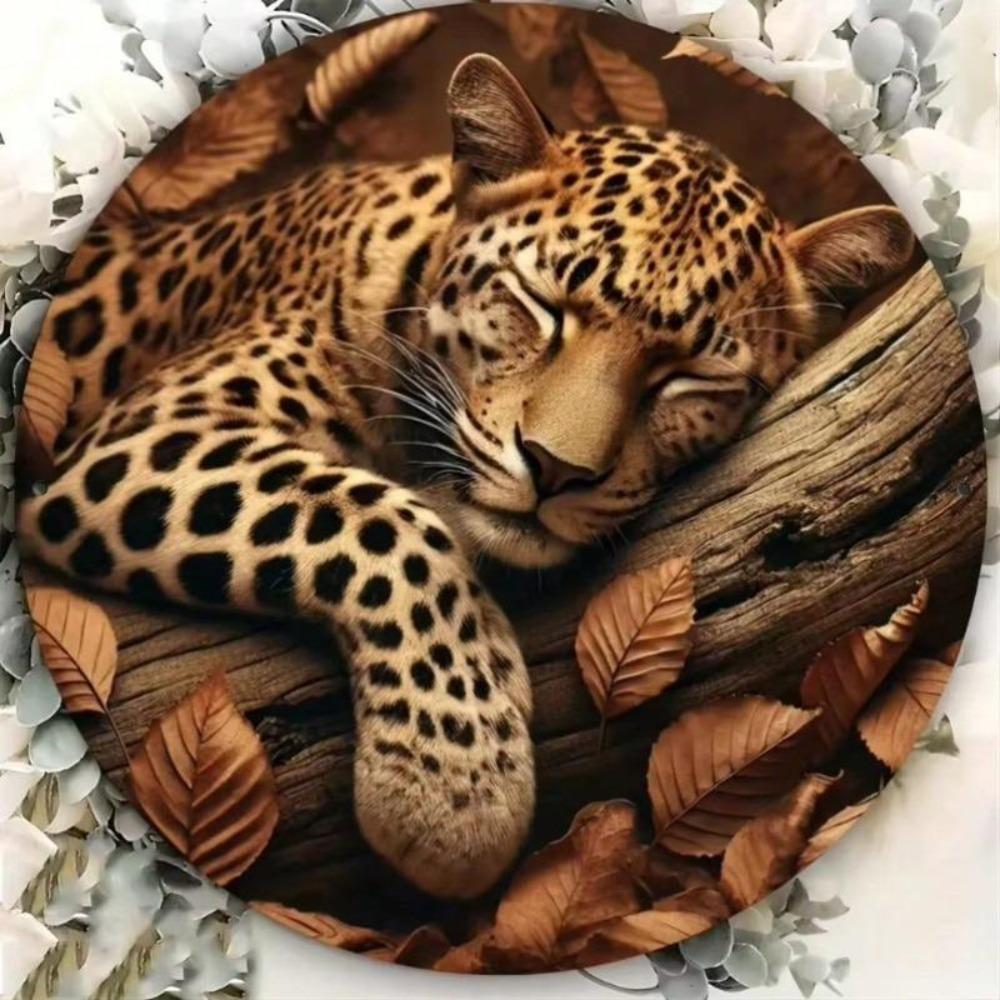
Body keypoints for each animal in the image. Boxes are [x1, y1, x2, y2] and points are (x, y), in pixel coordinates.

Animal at [18, 53, 914, 899]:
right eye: (543, 306)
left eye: (689, 377)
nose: (555, 469)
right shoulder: (147, 432)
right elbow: (382, 519)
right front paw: (453, 790)